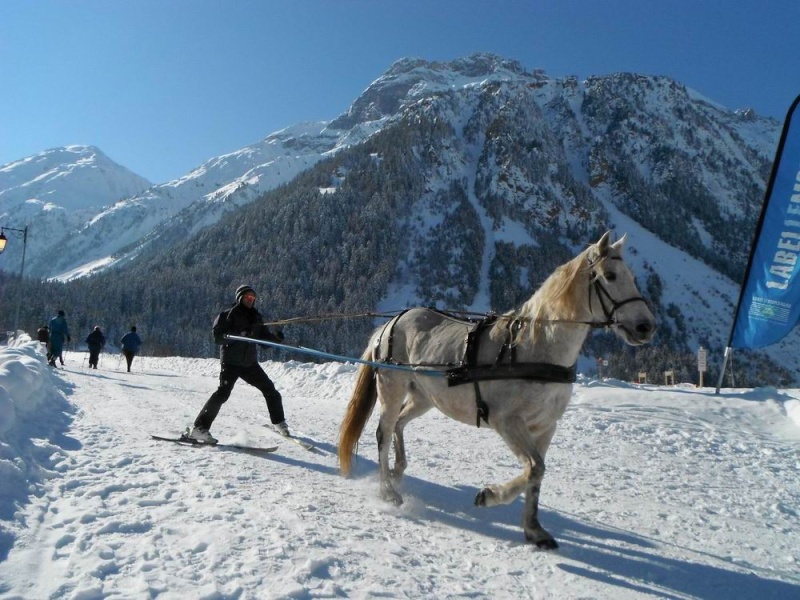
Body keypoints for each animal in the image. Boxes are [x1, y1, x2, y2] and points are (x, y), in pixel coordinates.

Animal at [334, 233, 652, 548]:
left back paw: (398, 470)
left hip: (424, 398)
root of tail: (389, 324)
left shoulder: (545, 427)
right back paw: (388, 490)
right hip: (393, 388)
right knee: (384, 432)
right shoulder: (507, 421)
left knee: (399, 424)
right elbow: (534, 468)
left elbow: (536, 475)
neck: (533, 347)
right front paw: (489, 496)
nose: (645, 326)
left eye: (632, 276)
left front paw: (534, 530)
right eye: (610, 275)